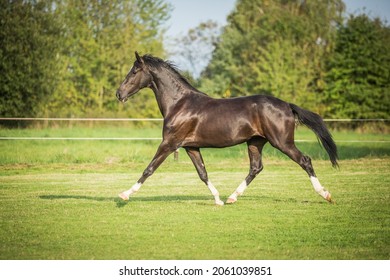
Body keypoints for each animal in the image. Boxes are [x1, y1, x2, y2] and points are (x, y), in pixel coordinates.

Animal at [116, 52, 338, 206]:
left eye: (134, 71)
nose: (119, 93)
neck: (179, 104)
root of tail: (287, 105)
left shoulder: (169, 144)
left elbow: (149, 169)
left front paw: (124, 194)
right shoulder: (191, 147)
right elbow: (203, 173)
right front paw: (218, 200)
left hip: (282, 142)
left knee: (305, 161)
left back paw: (326, 194)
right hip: (255, 142)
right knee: (255, 168)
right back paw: (231, 197)